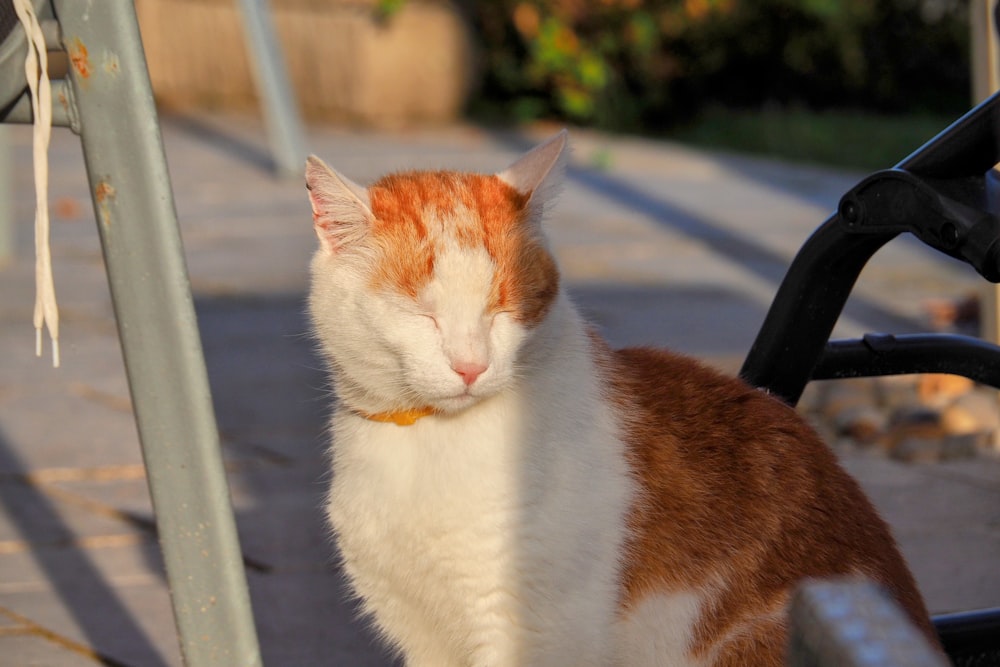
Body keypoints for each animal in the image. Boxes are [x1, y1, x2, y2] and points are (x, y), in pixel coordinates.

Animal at [306, 132, 936, 667]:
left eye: (503, 309)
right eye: (422, 314)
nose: (470, 365)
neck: (428, 440)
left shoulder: (530, 633)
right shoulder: (421, 635)